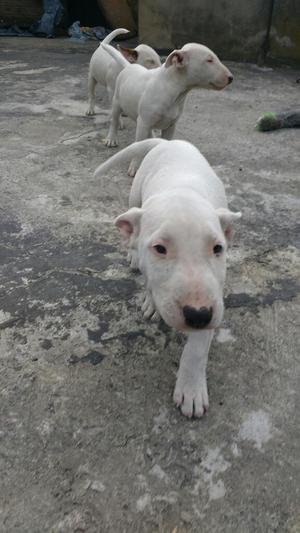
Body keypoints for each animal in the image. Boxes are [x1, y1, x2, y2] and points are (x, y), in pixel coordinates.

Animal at [94, 139, 241, 418]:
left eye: (218, 248)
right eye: (160, 249)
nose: (198, 315)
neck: (182, 191)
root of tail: (169, 141)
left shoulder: (214, 293)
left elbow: (197, 349)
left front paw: (191, 389)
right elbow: (151, 282)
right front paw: (152, 303)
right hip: (135, 196)